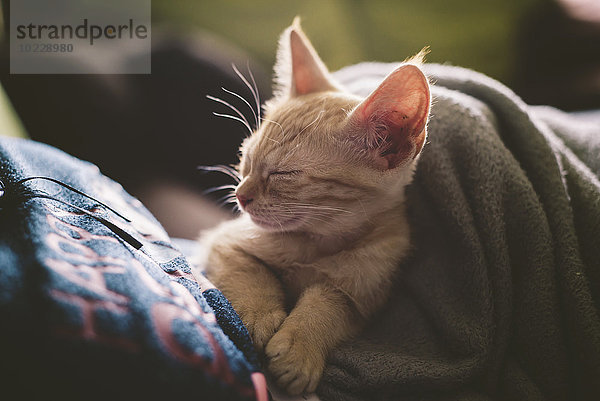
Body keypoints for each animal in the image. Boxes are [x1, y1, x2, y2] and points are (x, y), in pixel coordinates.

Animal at [195, 18, 434, 394]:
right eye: (245, 158)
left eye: (283, 173)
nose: (241, 196)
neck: (318, 242)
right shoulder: (224, 240)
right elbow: (248, 270)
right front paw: (256, 315)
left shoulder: (367, 293)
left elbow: (331, 303)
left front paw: (300, 347)